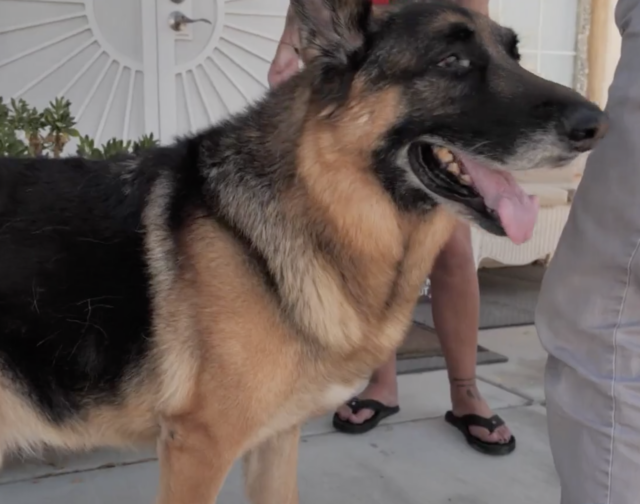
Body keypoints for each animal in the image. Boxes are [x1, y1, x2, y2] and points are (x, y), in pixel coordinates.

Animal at [0, 0, 604, 504]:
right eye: (451, 60)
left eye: (514, 55)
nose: (596, 125)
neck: (319, 202)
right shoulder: (197, 448)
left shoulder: (276, 438)